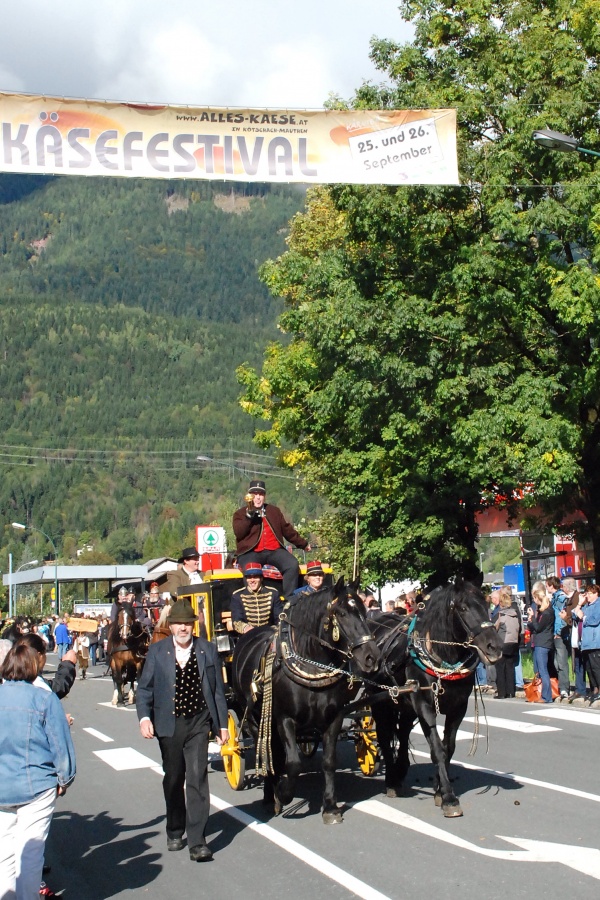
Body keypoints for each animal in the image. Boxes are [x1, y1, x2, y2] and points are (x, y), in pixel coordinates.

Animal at [231, 580, 380, 828]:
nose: (372, 657)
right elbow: (293, 763)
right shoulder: (284, 719)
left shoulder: (334, 717)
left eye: (364, 610)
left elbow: (329, 761)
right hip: (253, 717)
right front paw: (283, 794)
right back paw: (270, 797)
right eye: (341, 613)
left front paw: (330, 807)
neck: (311, 663)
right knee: (264, 750)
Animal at [370, 580, 502, 820]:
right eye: (463, 608)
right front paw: (449, 797)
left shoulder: (458, 707)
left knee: (403, 732)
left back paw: (401, 769)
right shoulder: (424, 706)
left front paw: (440, 789)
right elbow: (437, 749)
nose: (495, 647)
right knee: (384, 736)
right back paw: (392, 780)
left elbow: (448, 747)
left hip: (405, 703)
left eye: (486, 603)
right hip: (380, 702)